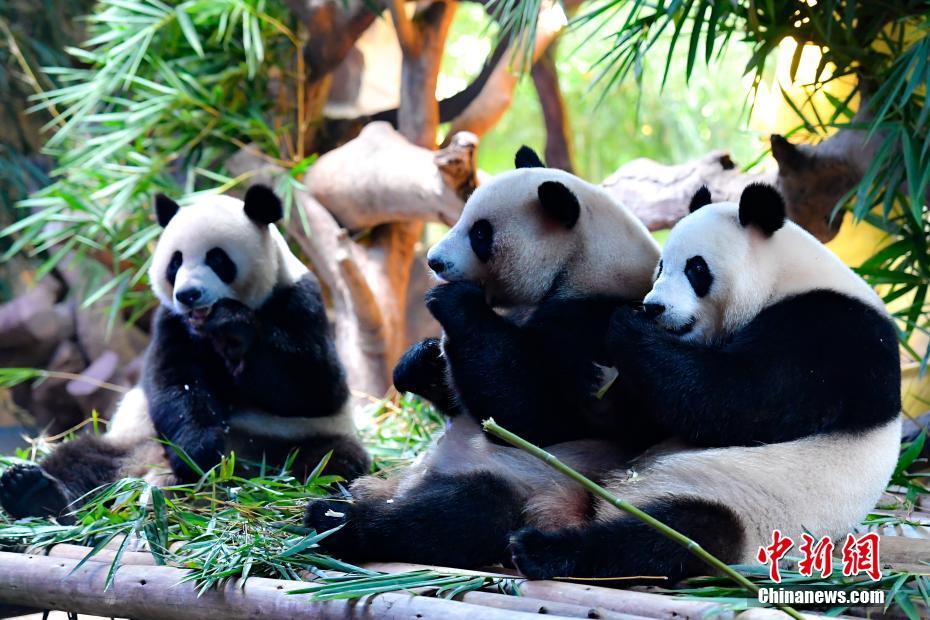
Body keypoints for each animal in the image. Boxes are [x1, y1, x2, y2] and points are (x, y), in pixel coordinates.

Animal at [0, 185, 369, 521]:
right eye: (174, 262)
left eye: (217, 258)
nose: (188, 294)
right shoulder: (172, 323)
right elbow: (175, 384)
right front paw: (197, 454)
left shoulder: (300, 299)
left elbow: (316, 386)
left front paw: (235, 326)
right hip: (134, 440)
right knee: (82, 457)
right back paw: (31, 491)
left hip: (289, 444)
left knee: (332, 460)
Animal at [304, 147, 663, 568]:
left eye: (480, 234)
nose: (434, 261)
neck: (586, 263)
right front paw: (419, 361)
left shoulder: (593, 326)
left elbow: (538, 418)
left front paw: (452, 301)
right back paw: (344, 496)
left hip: (532, 483)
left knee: (456, 516)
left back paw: (338, 520)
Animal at [507, 183, 902, 581]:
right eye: (661, 266)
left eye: (696, 268)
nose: (653, 307)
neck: (787, 274)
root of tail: (612, 501)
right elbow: (642, 420)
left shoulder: (829, 333)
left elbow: (738, 400)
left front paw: (627, 327)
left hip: (734, 504)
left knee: (669, 537)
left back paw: (544, 550)